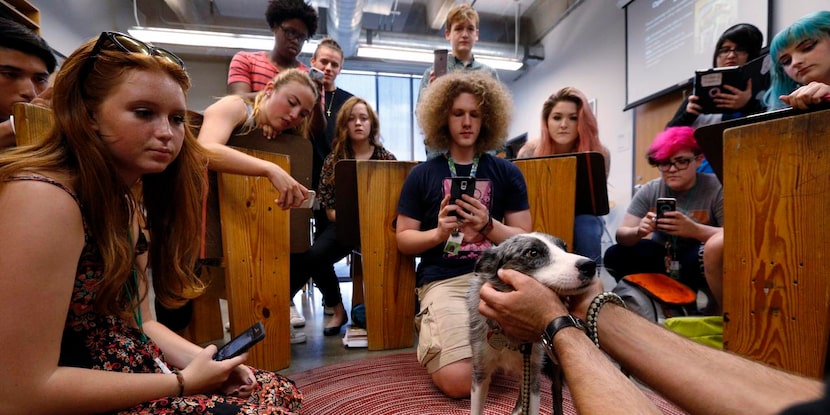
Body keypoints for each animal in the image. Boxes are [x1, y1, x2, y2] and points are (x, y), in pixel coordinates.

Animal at [468, 232, 600, 414]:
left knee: (555, 389)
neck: (512, 337)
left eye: (564, 247)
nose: (590, 266)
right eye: (532, 253)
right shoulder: (480, 372)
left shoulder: (534, 375)